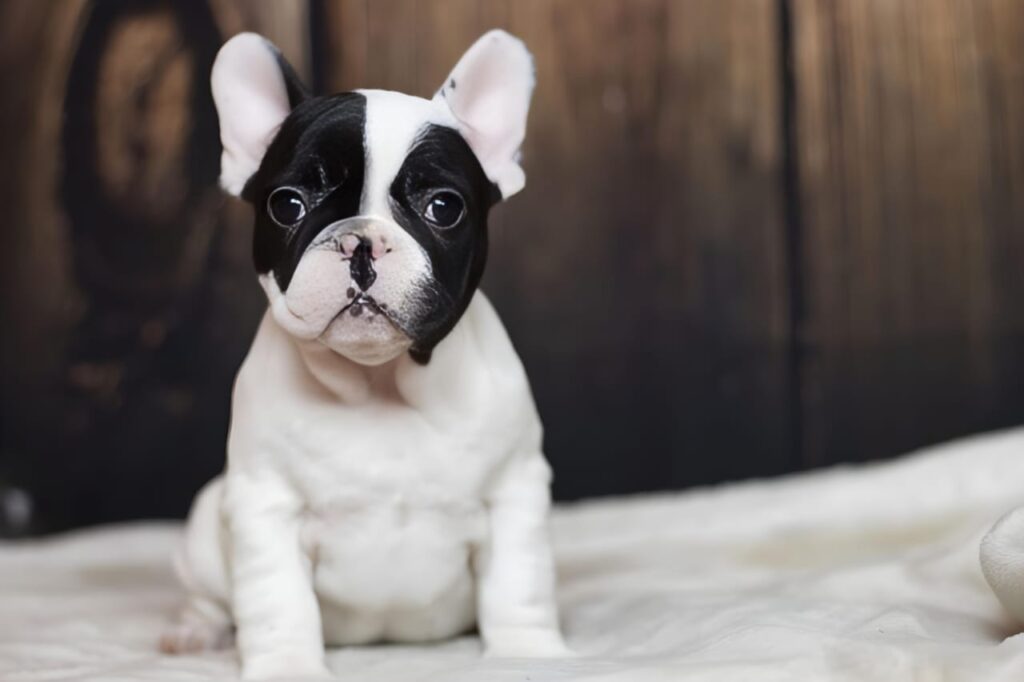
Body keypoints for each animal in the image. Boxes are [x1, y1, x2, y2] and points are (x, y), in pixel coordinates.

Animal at [157, 30, 569, 675]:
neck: (381, 385)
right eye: (288, 204)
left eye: (444, 207)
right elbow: (279, 601)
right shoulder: (265, 507)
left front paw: (527, 655)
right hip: (203, 529)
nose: (362, 243)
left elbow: (518, 583)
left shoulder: (513, 492)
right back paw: (197, 632)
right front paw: (288, 667)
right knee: (208, 597)